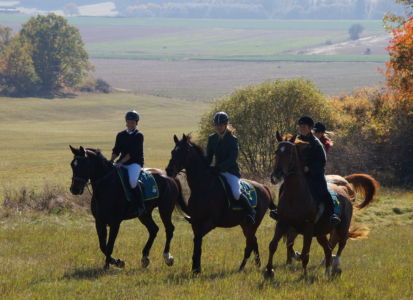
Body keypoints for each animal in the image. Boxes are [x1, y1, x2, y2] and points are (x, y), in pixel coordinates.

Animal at [165, 135, 276, 274]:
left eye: (184, 152)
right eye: (172, 152)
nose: (169, 170)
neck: (203, 186)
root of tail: (264, 187)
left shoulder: (211, 222)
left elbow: (198, 239)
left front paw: (196, 268)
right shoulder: (196, 222)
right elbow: (197, 242)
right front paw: (196, 268)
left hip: (252, 224)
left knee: (249, 244)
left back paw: (241, 268)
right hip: (245, 224)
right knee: (253, 241)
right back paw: (256, 265)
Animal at [264, 134, 376, 278]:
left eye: (290, 152)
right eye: (277, 152)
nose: (276, 176)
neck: (295, 196)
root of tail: (345, 192)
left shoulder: (308, 227)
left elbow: (305, 253)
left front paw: (304, 275)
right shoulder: (283, 223)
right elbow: (273, 245)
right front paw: (269, 271)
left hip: (342, 227)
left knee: (341, 243)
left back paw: (336, 266)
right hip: (320, 232)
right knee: (328, 248)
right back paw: (327, 270)